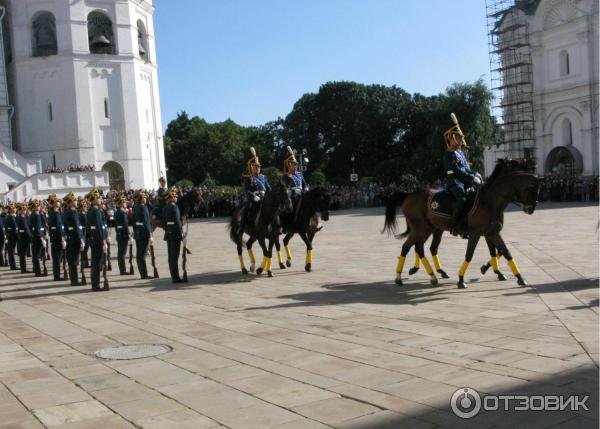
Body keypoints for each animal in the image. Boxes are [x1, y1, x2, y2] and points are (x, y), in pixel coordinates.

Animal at [384, 162, 544, 290]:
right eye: (532, 188)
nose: (531, 209)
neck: (490, 200)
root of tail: (408, 194)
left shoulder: (492, 232)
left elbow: (503, 252)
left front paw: (518, 277)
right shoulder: (476, 233)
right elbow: (470, 254)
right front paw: (461, 279)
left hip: (431, 229)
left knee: (419, 248)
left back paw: (425, 275)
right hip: (422, 229)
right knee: (414, 248)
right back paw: (413, 276)